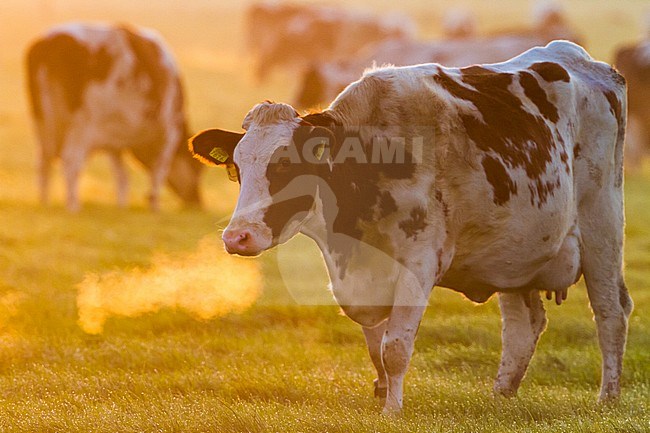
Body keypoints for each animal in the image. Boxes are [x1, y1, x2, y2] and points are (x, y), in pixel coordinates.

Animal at [26, 22, 201, 212]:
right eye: (198, 168)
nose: (198, 202)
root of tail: (52, 41)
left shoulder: (114, 142)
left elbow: (122, 176)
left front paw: (122, 206)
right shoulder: (169, 134)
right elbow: (158, 171)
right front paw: (154, 207)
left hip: (42, 123)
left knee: (43, 161)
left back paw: (44, 203)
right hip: (83, 124)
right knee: (71, 160)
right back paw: (73, 206)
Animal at [187, 42, 628, 414]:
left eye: (285, 165)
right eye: (237, 167)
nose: (237, 236)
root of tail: (580, 59)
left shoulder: (418, 264)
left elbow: (395, 347)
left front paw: (392, 410)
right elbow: (375, 348)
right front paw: (382, 393)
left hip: (603, 225)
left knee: (611, 312)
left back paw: (607, 398)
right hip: (516, 252)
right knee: (524, 326)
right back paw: (501, 395)